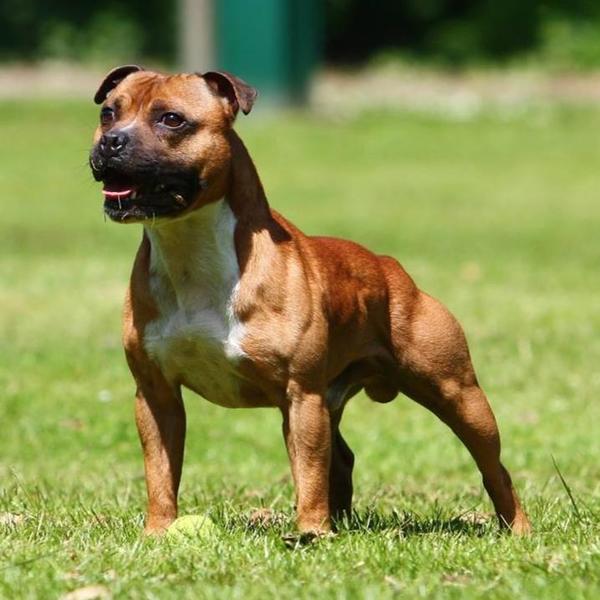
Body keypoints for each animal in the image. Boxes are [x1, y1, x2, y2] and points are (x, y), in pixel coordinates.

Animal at [89, 67, 528, 540]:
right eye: (108, 112)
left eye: (172, 119)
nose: (111, 141)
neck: (190, 250)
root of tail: (391, 268)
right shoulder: (156, 395)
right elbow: (161, 471)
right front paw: (158, 531)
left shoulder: (300, 396)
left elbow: (308, 471)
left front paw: (312, 531)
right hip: (335, 400)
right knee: (342, 459)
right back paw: (342, 522)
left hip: (457, 394)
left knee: (493, 466)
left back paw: (516, 528)